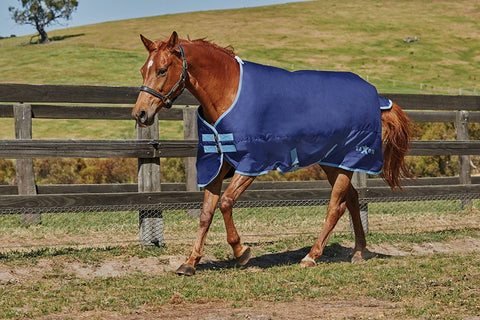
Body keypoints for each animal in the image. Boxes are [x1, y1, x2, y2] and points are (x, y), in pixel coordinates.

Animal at [132, 31, 412, 276]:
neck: (228, 93)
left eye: (162, 70)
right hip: (332, 162)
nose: (140, 114)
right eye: (143, 70)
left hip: (346, 161)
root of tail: (376, 98)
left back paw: (311, 256)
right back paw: (358, 251)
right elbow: (205, 214)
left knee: (335, 206)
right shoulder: (217, 165)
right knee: (352, 199)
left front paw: (242, 252)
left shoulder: (251, 164)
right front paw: (189, 263)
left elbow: (226, 203)